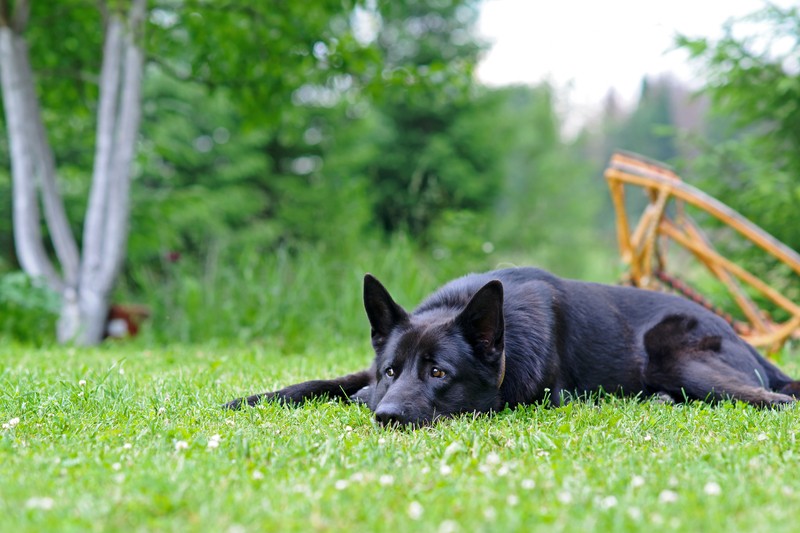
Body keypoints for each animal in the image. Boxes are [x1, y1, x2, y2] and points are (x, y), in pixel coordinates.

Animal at [222, 268, 796, 426]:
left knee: (775, 400)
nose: (382, 413)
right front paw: (249, 399)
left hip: (677, 355)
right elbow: (320, 381)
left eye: (438, 373)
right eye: (390, 371)